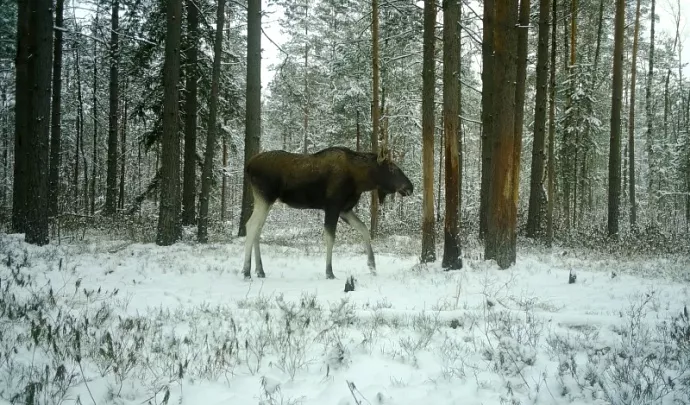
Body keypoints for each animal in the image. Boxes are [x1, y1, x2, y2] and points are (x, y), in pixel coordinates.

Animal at [239, 147, 412, 280]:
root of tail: (248, 165)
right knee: (251, 225)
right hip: (265, 197)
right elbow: (330, 238)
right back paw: (246, 271)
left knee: (258, 228)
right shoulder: (333, 206)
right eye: (392, 168)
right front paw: (329, 272)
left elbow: (363, 228)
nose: (411, 186)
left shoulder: (345, 209)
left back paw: (260, 270)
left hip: (265, 200)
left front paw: (372, 265)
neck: (360, 181)